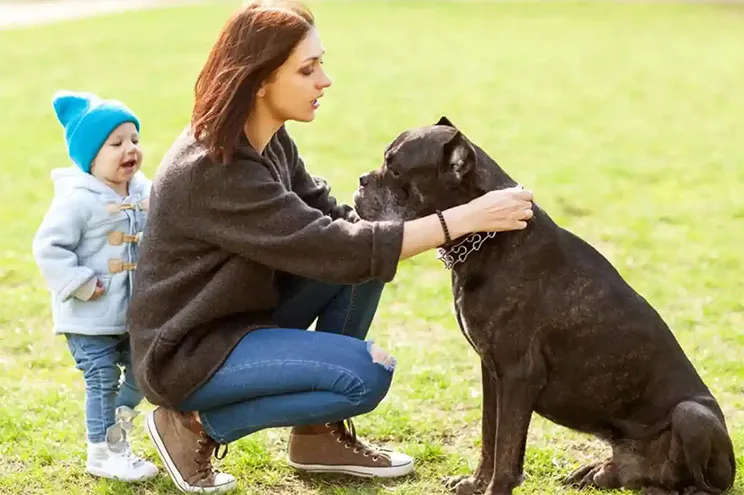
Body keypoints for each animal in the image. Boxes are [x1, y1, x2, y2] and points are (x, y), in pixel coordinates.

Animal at [352, 118, 736, 495]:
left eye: (395, 169)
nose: (361, 179)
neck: (489, 239)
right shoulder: (492, 373)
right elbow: (490, 437)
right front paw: (474, 483)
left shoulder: (519, 374)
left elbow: (506, 450)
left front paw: (494, 488)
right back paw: (600, 472)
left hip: (692, 415)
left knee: (703, 483)